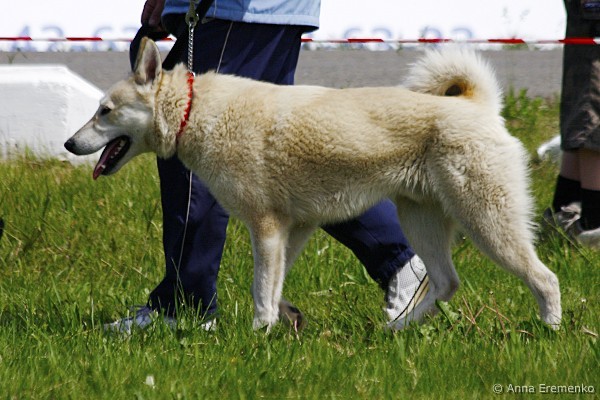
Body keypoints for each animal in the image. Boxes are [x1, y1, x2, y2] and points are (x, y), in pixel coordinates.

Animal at [65, 38, 561, 331]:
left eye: (105, 111)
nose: (69, 143)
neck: (194, 112)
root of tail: (480, 106)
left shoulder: (266, 228)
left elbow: (261, 291)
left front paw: (257, 336)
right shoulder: (294, 229)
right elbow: (275, 285)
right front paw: (282, 323)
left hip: (488, 223)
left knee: (544, 278)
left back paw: (548, 332)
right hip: (420, 220)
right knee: (446, 283)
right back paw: (392, 332)